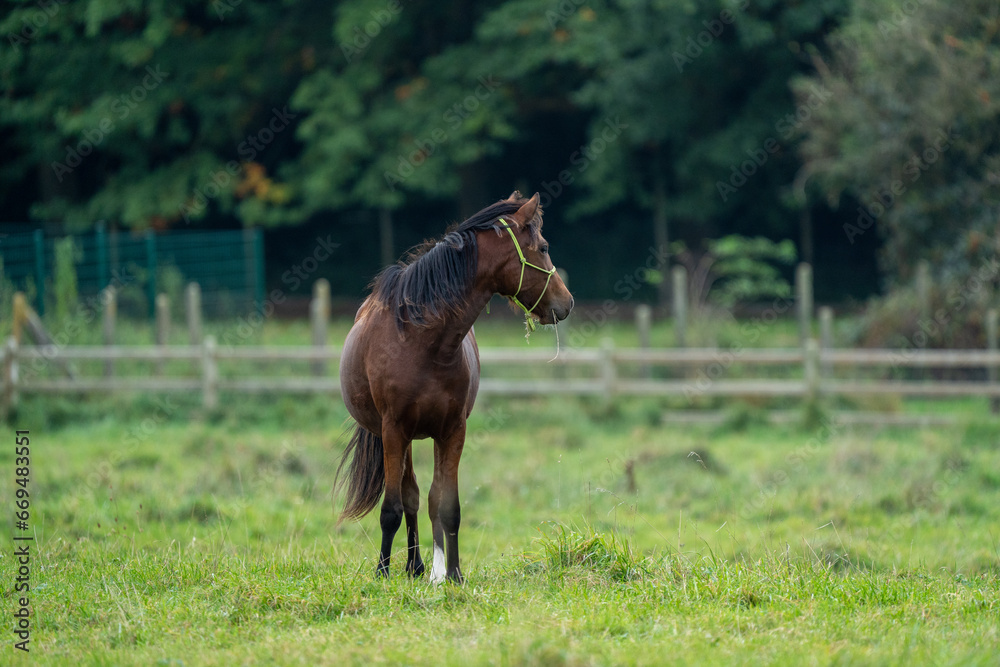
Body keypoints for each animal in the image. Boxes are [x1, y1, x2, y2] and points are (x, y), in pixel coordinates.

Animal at [334, 192, 572, 584]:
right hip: (399, 437)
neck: (424, 343)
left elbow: (447, 507)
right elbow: (392, 507)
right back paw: (409, 565)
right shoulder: (394, 429)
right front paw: (382, 571)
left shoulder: (452, 431)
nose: (567, 302)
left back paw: (422, 567)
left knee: (423, 499)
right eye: (543, 247)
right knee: (408, 495)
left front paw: (454, 573)